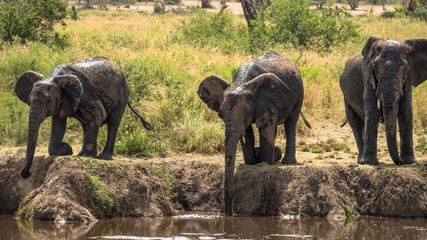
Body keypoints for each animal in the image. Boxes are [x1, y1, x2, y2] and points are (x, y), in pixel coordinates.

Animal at [14, 55, 152, 177]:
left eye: (47, 102)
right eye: (30, 101)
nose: (28, 173)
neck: (53, 78)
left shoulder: (86, 93)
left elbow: (99, 114)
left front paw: (84, 155)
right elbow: (58, 127)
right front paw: (66, 150)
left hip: (122, 95)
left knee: (112, 123)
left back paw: (103, 157)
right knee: (85, 124)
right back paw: (80, 154)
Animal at [197, 50, 310, 216]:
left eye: (245, 113)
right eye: (221, 116)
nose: (229, 213)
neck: (241, 83)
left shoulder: (268, 100)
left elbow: (265, 127)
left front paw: (268, 158)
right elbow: (248, 132)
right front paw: (255, 157)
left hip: (300, 92)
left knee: (291, 123)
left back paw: (288, 161)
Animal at [342, 36, 427, 166]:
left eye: (404, 69)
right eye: (376, 68)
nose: (400, 162)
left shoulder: (409, 78)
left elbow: (406, 110)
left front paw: (409, 162)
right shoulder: (368, 74)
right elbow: (372, 109)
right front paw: (370, 163)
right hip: (345, 95)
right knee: (355, 121)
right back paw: (361, 161)